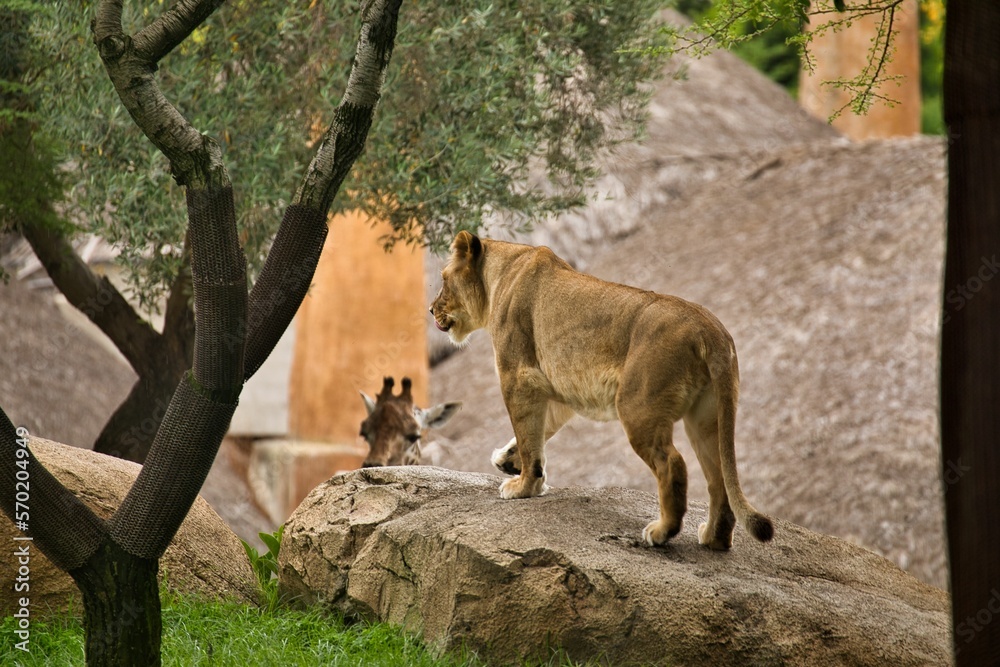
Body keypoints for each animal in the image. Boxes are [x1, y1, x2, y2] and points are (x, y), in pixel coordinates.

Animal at [430, 231, 773, 550]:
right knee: (718, 477)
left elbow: (528, 436)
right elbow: (539, 432)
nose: (431, 310)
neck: (499, 275)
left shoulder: (518, 376)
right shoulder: (554, 390)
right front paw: (509, 463)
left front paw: (522, 487)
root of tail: (711, 331)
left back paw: (661, 532)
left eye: (444, 279)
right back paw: (714, 538)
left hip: (637, 407)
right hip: (706, 416)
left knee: (672, 464)